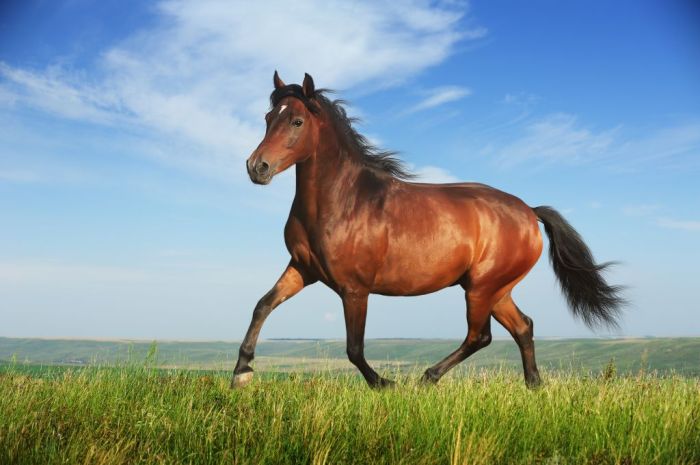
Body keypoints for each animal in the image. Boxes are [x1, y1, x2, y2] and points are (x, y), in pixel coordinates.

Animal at [232, 72, 625, 389]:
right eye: (268, 117)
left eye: (297, 121)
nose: (256, 167)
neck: (343, 201)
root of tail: (529, 211)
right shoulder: (302, 269)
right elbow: (262, 306)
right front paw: (241, 373)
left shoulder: (355, 289)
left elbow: (354, 348)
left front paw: (385, 384)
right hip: (496, 290)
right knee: (522, 327)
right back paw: (533, 386)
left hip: (482, 288)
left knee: (480, 336)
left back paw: (427, 378)